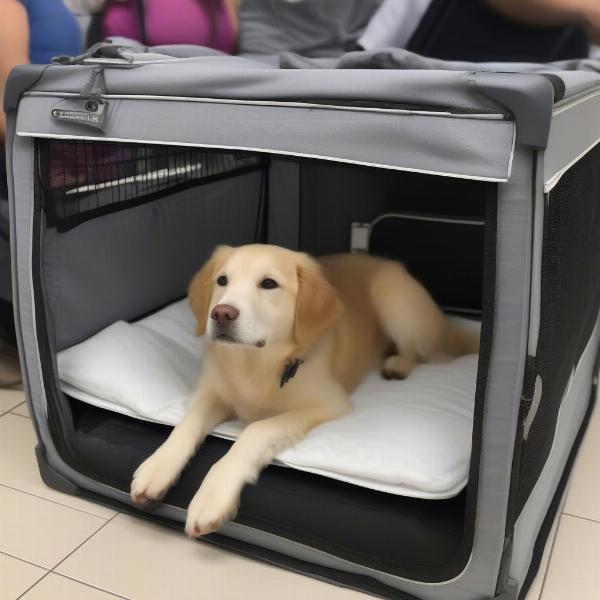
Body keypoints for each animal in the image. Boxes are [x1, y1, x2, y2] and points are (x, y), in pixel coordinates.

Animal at [131, 246, 478, 536]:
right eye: (222, 280)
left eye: (268, 283)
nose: (221, 313)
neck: (254, 363)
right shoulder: (212, 393)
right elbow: (186, 425)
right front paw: (157, 467)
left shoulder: (327, 403)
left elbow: (255, 431)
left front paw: (213, 495)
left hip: (398, 307)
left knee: (425, 353)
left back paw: (398, 364)